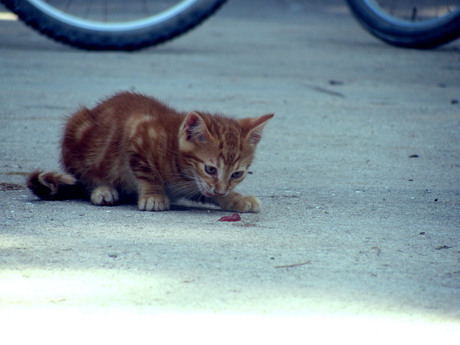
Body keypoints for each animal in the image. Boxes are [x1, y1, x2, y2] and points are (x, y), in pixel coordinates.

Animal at [27, 90, 274, 212]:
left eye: (237, 174)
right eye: (211, 169)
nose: (222, 190)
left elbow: (207, 193)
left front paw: (237, 199)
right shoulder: (137, 133)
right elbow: (146, 171)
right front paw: (154, 196)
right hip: (76, 131)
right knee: (84, 174)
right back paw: (102, 189)